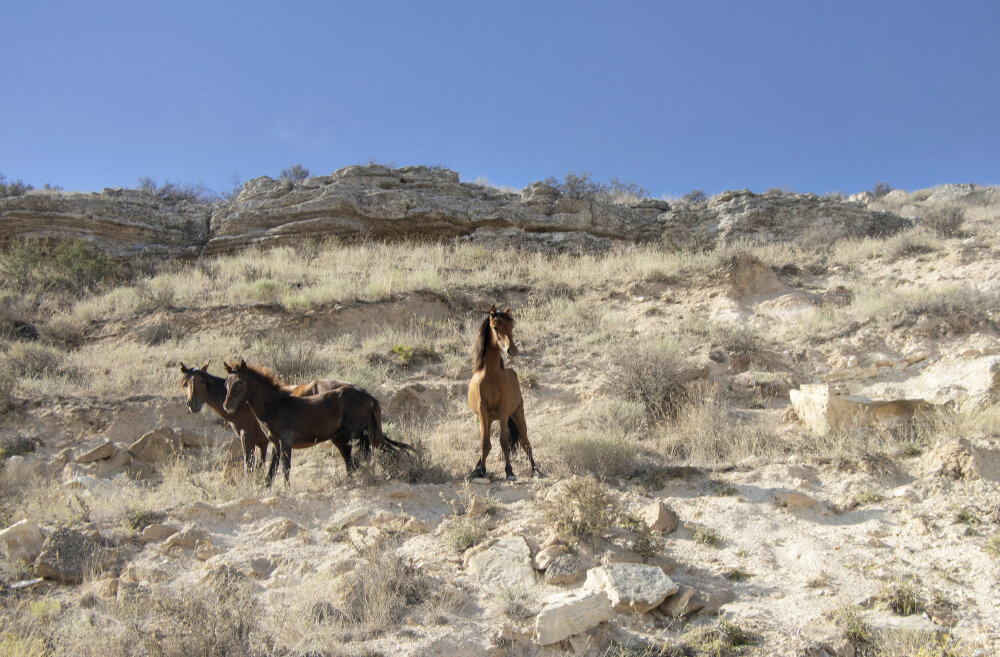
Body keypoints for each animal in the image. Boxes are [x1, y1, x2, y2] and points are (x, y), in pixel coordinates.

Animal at [180, 362, 368, 474]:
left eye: (201, 381)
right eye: (186, 383)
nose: (192, 403)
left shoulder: (247, 437)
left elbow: (249, 466)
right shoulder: (264, 442)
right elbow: (263, 467)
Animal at [224, 358, 414, 486]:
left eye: (239, 382)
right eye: (227, 383)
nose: (227, 406)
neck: (275, 406)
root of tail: (369, 396)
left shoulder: (286, 441)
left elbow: (286, 468)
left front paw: (286, 490)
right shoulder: (275, 444)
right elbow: (271, 471)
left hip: (355, 432)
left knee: (364, 452)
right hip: (346, 435)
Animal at [466, 304, 544, 480]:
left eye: (511, 327)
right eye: (495, 327)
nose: (512, 350)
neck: (491, 376)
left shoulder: (503, 410)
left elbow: (504, 441)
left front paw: (509, 471)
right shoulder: (483, 412)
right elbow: (484, 442)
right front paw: (481, 470)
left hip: (517, 413)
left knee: (526, 443)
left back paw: (536, 470)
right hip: (489, 419)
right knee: (488, 443)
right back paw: (474, 469)